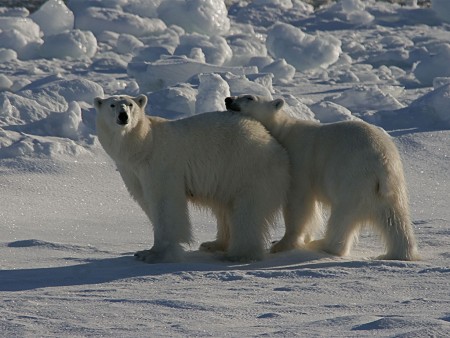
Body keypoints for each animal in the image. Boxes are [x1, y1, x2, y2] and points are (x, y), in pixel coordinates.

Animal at [94, 93, 290, 262]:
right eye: (112, 105)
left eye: (130, 104)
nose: (123, 116)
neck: (144, 145)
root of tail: (276, 147)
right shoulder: (132, 171)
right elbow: (146, 201)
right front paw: (146, 251)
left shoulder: (161, 163)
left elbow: (165, 202)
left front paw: (155, 254)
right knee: (225, 208)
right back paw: (214, 244)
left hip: (248, 170)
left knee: (247, 211)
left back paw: (238, 254)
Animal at [227, 93, 420, 260]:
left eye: (249, 97)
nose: (228, 99)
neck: (283, 132)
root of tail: (383, 163)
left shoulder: (299, 162)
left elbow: (298, 204)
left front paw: (281, 244)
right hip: (390, 189)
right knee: (395, 219)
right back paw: (401, 253)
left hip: (353, 178)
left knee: (342, 215)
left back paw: (322, 245)